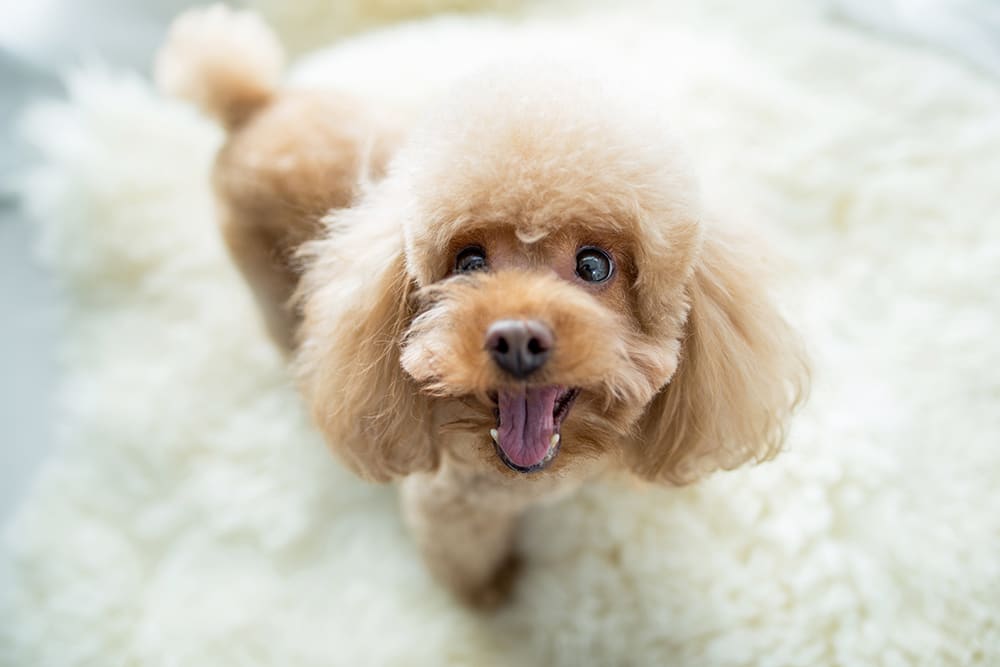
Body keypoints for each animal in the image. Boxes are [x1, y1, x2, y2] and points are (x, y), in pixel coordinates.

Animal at [158, 5, 812, 608]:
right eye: (469, 262)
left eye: (595, 265)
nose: (517, 338)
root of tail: (252, 101)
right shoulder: (451, 505)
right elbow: (465, 558)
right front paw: (488, 594)